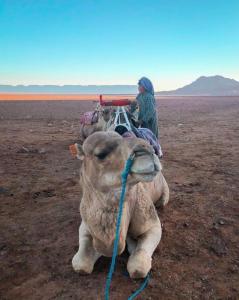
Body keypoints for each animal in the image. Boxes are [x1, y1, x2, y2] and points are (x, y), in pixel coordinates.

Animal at [72, 131, 169, 278]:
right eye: (101, 154)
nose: (149, 150)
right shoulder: (86, 225)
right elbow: (81, 265)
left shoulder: (153, 225)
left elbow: (138, 268)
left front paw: (133, 244)